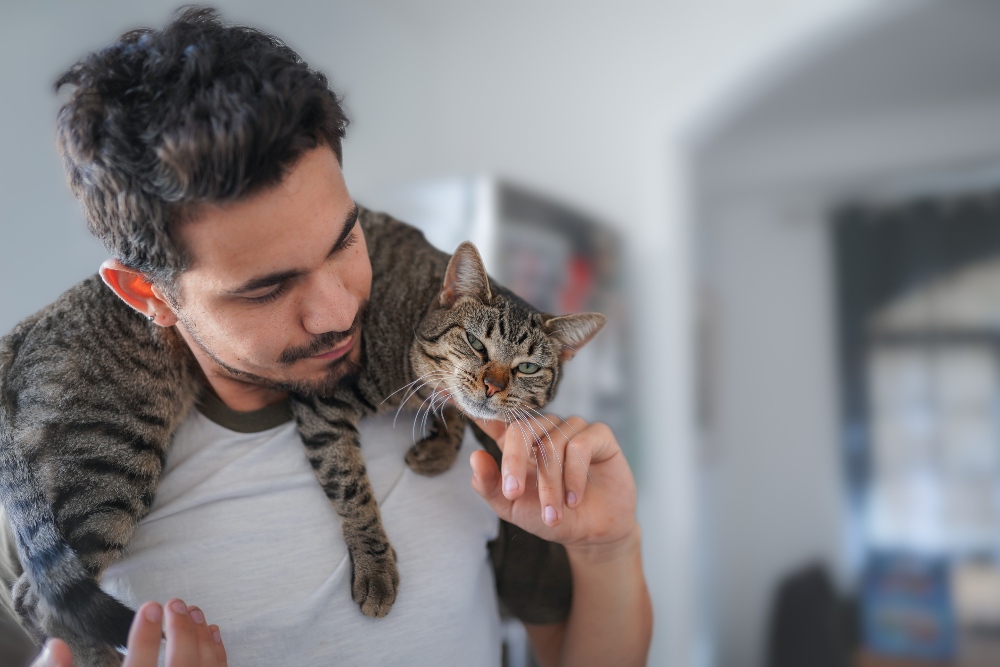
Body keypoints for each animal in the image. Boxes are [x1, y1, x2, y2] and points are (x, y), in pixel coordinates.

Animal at [0, 207, 600, 664]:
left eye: (527, 368)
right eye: (477, 344)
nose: (493, 383)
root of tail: (26, 326)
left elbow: (452, 411)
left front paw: (437, 447)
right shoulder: (320, 403)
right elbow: (355, 492)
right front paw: (376, 568)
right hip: (114, 463)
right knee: (35, 597)